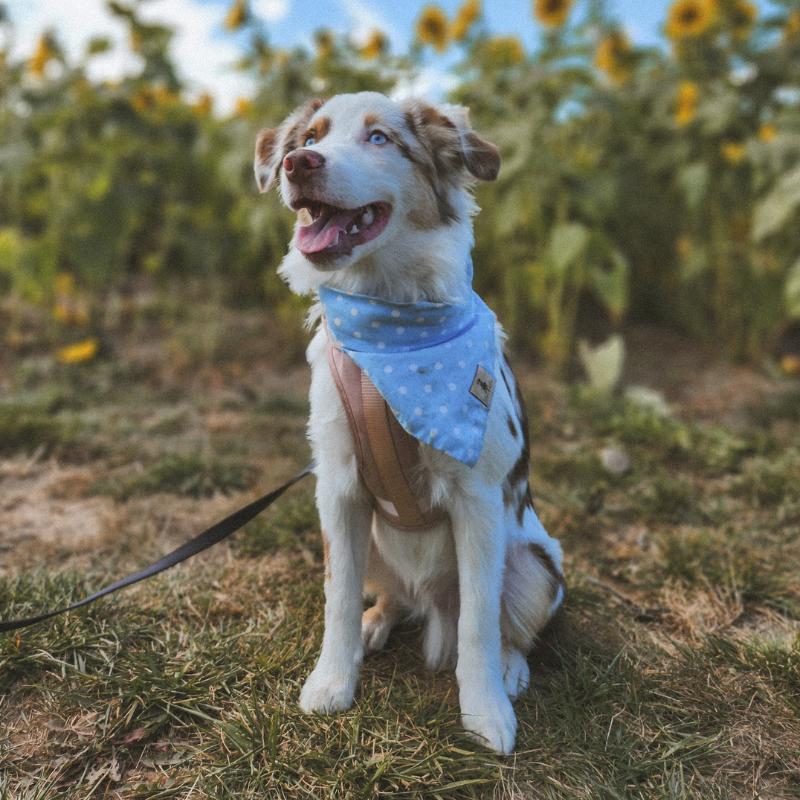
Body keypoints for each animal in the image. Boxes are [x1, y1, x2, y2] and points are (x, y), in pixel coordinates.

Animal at [255, 90, 564, 752]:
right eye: (310, 138)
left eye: (380, 139)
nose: (298, 164)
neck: (388, 324)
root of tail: (430, 601)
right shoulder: (338, 488)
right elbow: (337, 598)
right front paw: (332, 680)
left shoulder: (478, 501)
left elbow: (478, 624)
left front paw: (486, 712)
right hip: (368, 538)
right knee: (386, 595)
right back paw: (377, 623)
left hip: (538, 567)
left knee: (505, 626)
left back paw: (510, 668)